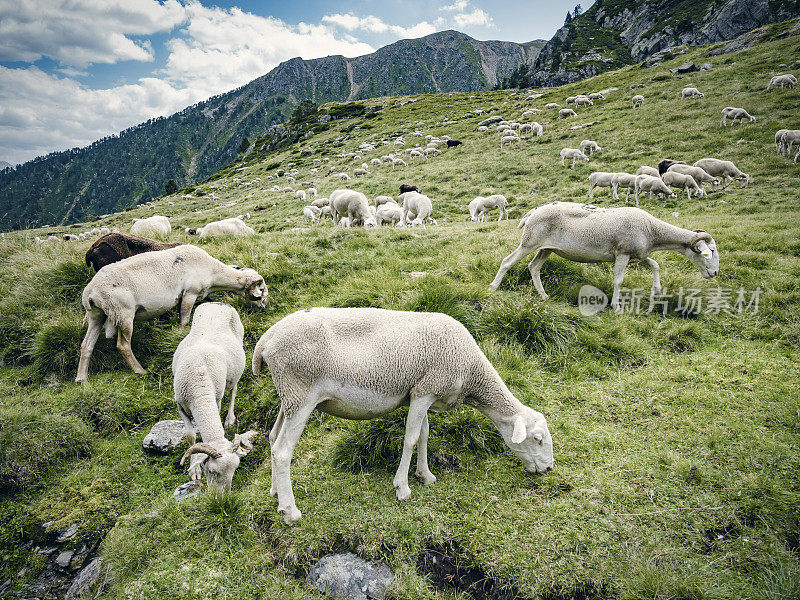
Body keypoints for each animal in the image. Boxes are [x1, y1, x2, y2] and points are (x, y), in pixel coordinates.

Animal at [75, 245, 268, 382]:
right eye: (261, 289)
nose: (264, 307)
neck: (213, 272)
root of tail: (90, 293)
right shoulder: (189, 294)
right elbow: (184, 320)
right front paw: (181, 336)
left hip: (96, 315)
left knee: (87, 345)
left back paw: (82, 379)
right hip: (123, 313)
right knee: (123, 345)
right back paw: (140, 370)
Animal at [173, 302, 258, 490]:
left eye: (234, 470)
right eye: (211, 471)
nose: (222, 496)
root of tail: (218, 303)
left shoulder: (216, 399)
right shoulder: (180, 404)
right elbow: (190, 436)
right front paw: (194, 469)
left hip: (234, 371)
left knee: (233, 390)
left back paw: (230, 419)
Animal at [253, 308, 552, 524]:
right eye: (537, 439)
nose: (548, 469)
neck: (471, 371)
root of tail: (265, 342)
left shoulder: (421, 394)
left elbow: (424, 435)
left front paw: (425, 475)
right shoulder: (425, 390)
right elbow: (410, 439)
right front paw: (403, 488)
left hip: (290, 396)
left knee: (272, 438)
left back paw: (276, 493)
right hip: (301, 392)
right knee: (282, 451)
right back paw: (290, 512)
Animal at [488, 202, 720, 310]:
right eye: (711, 251)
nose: (715, 273)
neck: (653, 231)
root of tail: (532, 212)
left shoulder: (637, 254)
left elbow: (655, 264)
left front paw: (656, 291)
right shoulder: (623, 253)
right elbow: (618, 281)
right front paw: (616, 306)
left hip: (546, 248)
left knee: (534, 267)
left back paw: (544, 296)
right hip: (529, 242)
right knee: (507, 262)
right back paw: (493, 288)